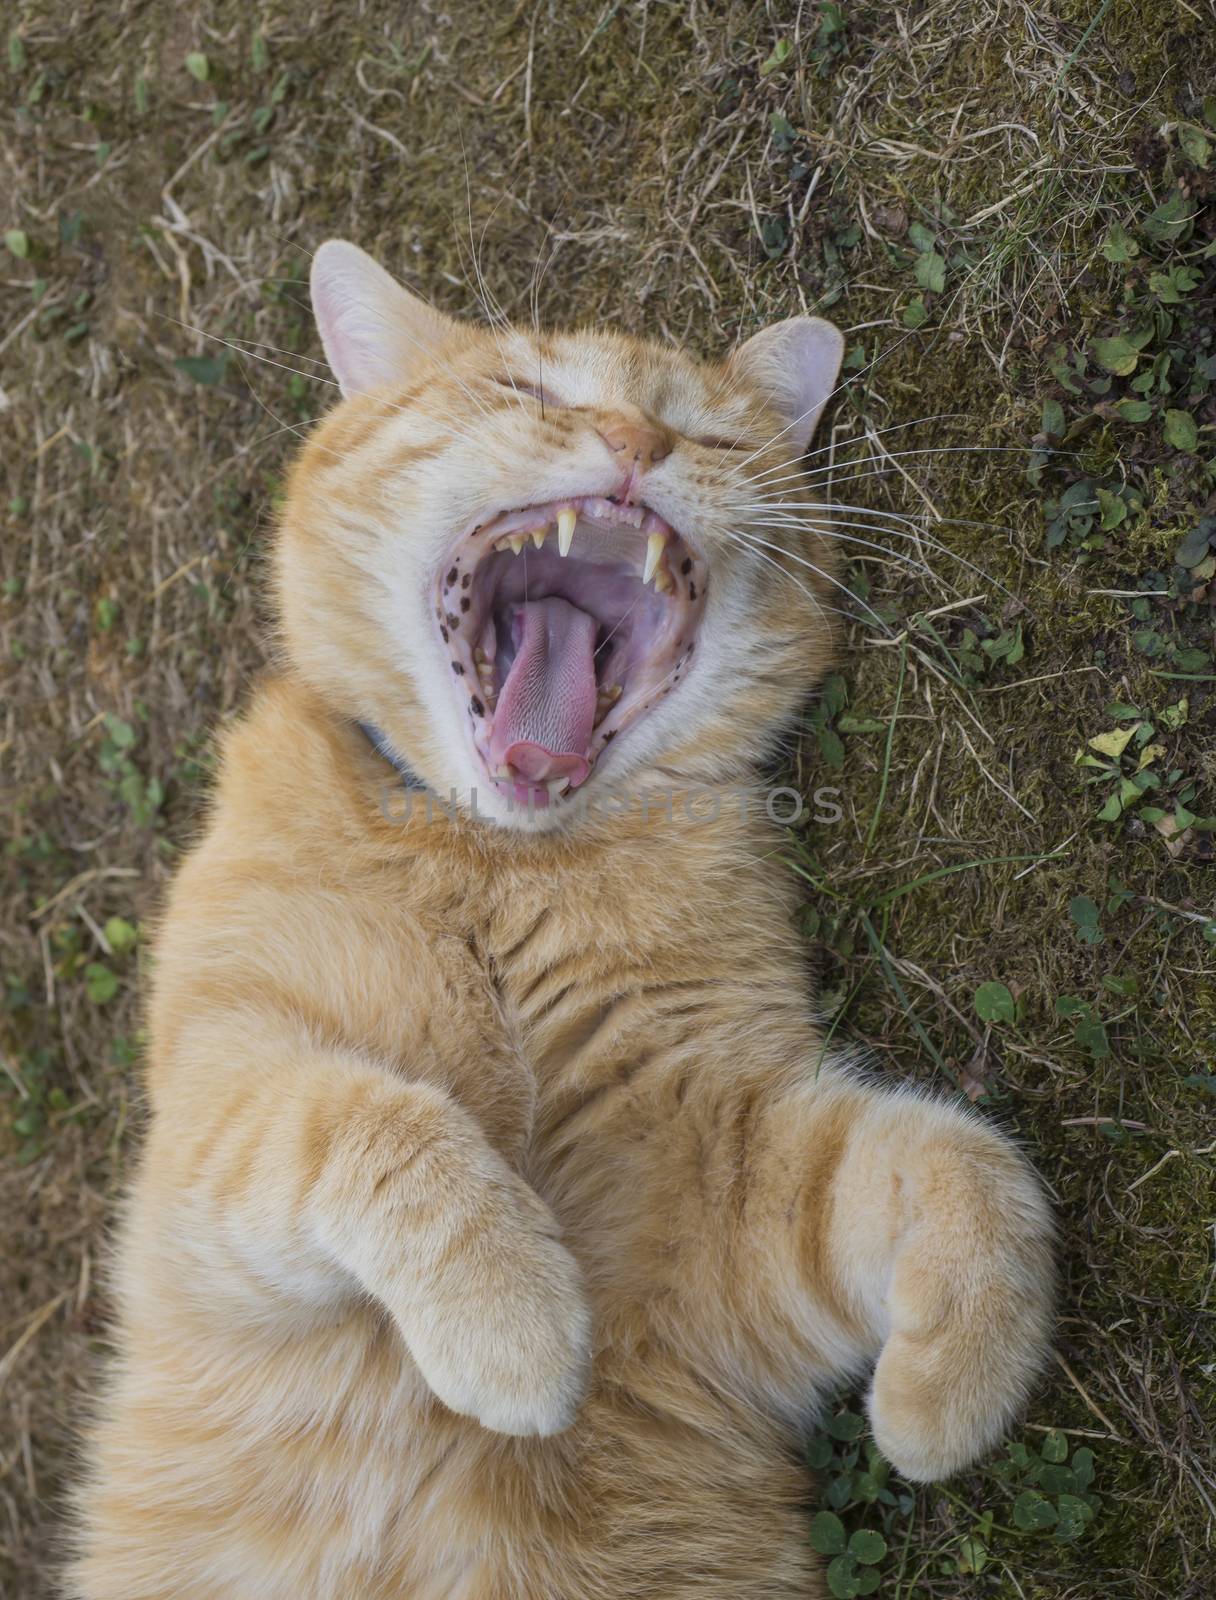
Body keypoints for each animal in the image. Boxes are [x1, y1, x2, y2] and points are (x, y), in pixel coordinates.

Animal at [68, 240, 1056, 1600]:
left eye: (704, 429)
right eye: (523, 387)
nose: (636, 436)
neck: (500, 868)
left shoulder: (727, 1185)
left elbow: (967, 1163)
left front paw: (941, 1401)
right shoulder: (217, 1118)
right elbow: (380, 1120)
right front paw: (518, 1326)